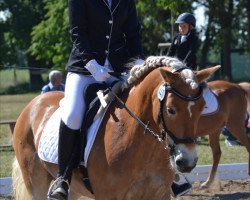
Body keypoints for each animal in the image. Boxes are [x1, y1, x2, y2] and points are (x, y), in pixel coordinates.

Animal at [11, 56, 219, 200]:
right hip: (35, 181)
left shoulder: (159, 194)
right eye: (171, 109)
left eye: (202, 107)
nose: (187, 162)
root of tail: (33, 104)